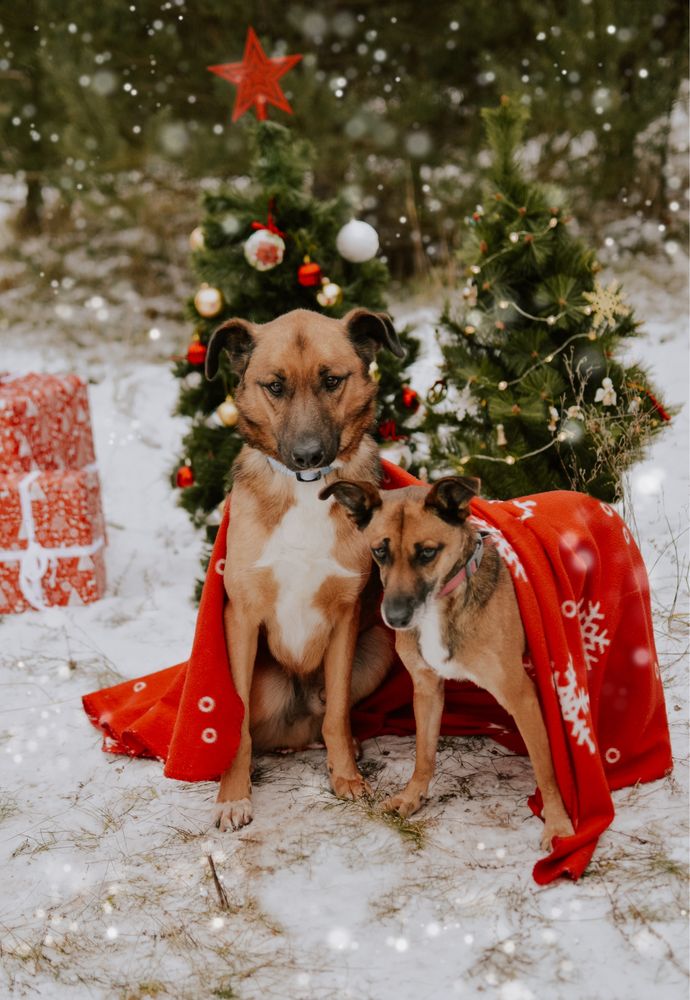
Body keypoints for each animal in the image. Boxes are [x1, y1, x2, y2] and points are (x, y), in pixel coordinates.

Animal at [204, 308, 404, 832]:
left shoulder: (347, 614)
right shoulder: (240, 616)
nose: (309, 455)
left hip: (378, 649)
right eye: (275, 386)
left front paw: (346, 777)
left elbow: (337, 714)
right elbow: (234, 722)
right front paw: (233, 796)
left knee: (325, 716)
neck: (305, 490)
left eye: (332, 380)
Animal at [320, 476, 572, 852]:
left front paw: (557, 823)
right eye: (380, 551)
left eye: (427, 552)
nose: (395, 619)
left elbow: (547, 768)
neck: (442, 604)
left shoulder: (521, 695)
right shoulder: (426, 688)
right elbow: (424, 754)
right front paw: (412, 797)